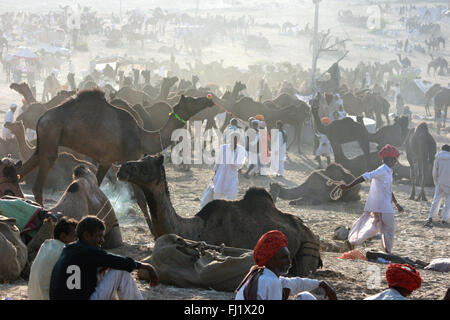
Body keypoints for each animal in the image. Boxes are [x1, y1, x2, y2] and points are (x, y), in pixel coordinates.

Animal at [18, 89, 214, 208]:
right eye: (192, 100)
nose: (208, 99)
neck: (143, 137)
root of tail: (41, 117)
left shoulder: (106, 161)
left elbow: (97, 186)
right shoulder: (130, 159)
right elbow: (141, 199)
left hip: (44, 142)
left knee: (25, 167)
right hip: (51, 133)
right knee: (39, 180)